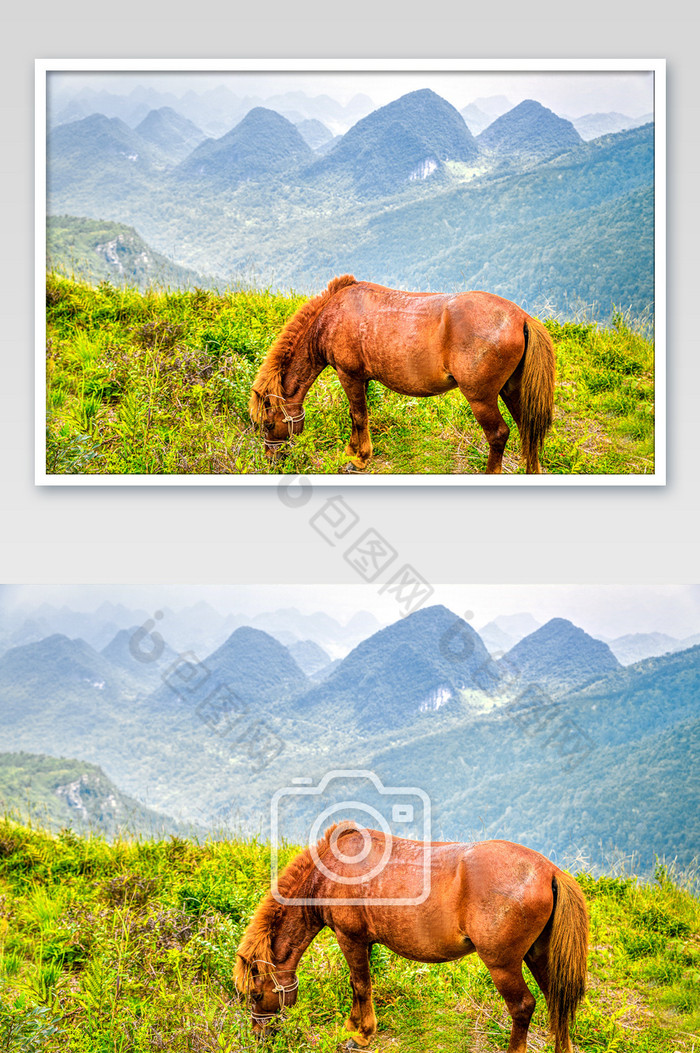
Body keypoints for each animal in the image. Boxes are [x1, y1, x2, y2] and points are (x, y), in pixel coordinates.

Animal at [235, 821, 589, 1053]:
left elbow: (360, 985)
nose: (258, 1035)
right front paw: (353, 1025)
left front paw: (361, 1034)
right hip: (538, 954)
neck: (329, 872)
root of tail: (550, 870)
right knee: (556, 1000)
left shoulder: (350, 938)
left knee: (523, 1006)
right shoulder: (361, 942)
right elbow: (357, 984)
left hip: (502, 964)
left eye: (255, 994)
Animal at [248, 280, 555, 478]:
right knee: (527, 429)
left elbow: (359, 416)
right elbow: (355, 416)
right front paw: (352, 450)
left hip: (481, 398)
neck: (330, 317)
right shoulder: (361, 378)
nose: (271, 459)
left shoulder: (349, 375)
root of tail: (523, 317)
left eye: (267, 423)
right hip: (512, 390)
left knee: (498, 434)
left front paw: (360, 459)